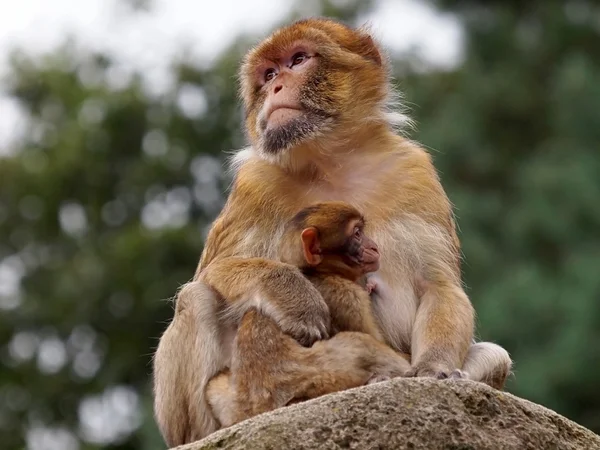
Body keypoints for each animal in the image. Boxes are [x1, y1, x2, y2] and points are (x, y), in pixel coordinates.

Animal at [207, 202, 412, 428]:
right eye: (357, 233)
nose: (374, 247)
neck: (318, 271)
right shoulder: (346, 295)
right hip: (326, 375)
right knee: (362, 345)